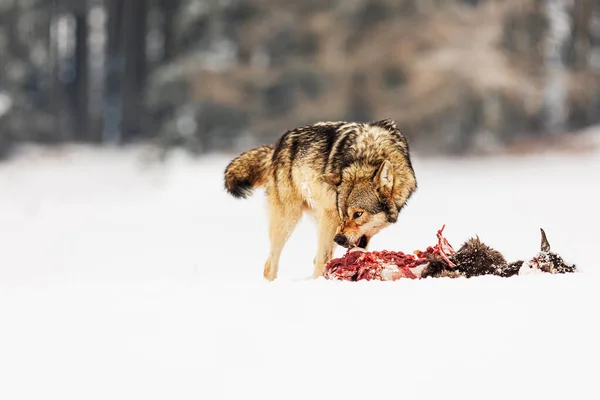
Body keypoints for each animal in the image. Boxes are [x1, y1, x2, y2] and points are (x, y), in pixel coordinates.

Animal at [223, 119, 414, 282]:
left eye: (358, 214)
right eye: (342, 213)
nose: (340, 239)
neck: (368, 157)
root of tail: (278, 144)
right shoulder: (331, 217)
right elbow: (323, 260)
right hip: (289, 221)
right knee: (270, 265)